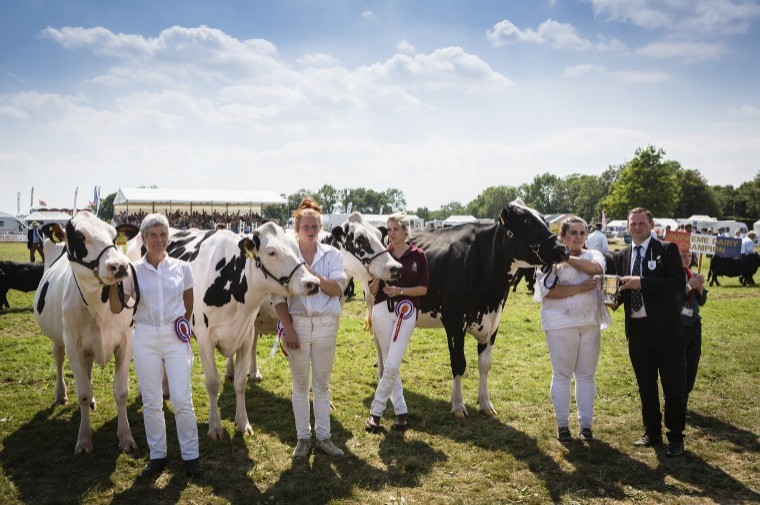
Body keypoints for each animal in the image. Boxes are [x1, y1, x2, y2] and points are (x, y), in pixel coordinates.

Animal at [33, 211, 137, 454]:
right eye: (79, 237)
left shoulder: (126, 341)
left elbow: (121, 391)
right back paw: (61, 394)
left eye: (114, 236)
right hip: (59, 340)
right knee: (58, 358)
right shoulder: (73, 344)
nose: (120, 266)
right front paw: (84, 440)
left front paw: (125, 437)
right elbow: (82, 392)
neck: (98, 307)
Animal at [128, 222, 320, 440]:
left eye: (296, 248)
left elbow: (240, 382)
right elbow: (212, 383)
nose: (312, 283)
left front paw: (243, 422)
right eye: (271, 252)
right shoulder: (204, 339)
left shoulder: (246, 335)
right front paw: (215, 426)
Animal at [406, 199, 568, 416]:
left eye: (544, 219)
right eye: (526, 221)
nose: (563, 250)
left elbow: (485, 365)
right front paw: (458, 405)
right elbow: (459, 363)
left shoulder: (493, 322)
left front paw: (485, 404)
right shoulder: (454, 321)